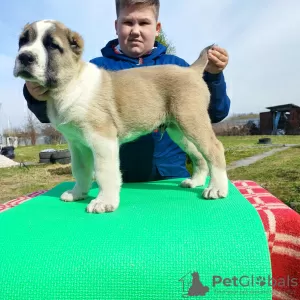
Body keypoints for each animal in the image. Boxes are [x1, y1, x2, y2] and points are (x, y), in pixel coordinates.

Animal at [12, 19, 229, 213]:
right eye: (22, 41)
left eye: (52, 45)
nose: (24, 57)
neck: (69, 85)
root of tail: (191, 70)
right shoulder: (77, 144)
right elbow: (80, 170)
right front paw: (77, 193)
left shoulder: (102, 139)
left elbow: (104, 172)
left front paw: (104, 202)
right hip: (179, 130)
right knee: (199, 154)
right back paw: (196, 181)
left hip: (191, 120)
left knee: (214, 149)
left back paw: (217, 188)